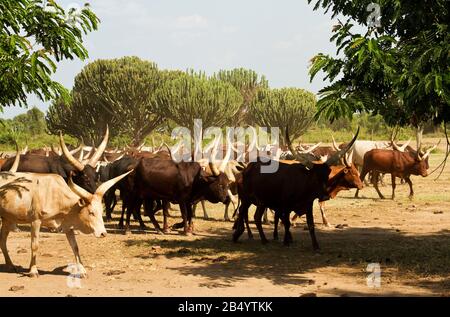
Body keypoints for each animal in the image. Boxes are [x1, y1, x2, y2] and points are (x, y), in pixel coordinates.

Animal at [0, 169, 132, 276]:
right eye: (91, 212)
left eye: (101, 211)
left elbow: (75, 247)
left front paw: (82, 270)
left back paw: (11, 266)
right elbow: (35, 245)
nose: (103, 233)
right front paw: (33, 271)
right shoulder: (35, 221)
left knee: (3, 241)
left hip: (7, 220)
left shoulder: (68, 227)